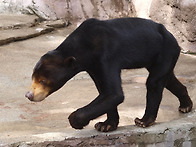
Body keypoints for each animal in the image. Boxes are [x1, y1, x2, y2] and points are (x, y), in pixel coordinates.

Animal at [25, 18, 192, 132]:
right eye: (33, 78)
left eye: (43, 80)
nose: (29, 95)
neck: (84, 49)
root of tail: (172, 37)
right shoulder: (93, 66)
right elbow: (104, 91)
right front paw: (106, 125)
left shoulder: (106, 55)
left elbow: (113, 93)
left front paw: (75, 121)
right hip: (156, 56)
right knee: (168, 79)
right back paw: (186, 105)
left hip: (165, 50)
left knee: (154, 82)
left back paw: (143, 120)